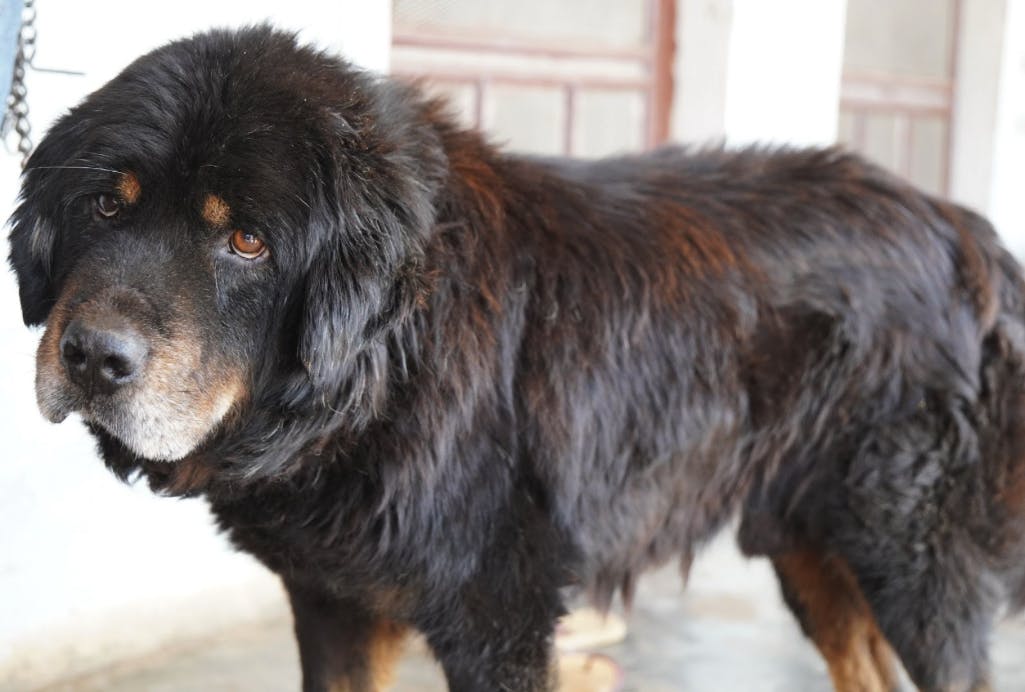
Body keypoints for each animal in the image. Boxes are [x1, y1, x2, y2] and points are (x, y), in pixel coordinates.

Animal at [8, 24, 1025, 688]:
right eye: (106, 206)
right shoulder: (335, 601)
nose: (93, 356)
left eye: (247, 242)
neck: (392, 364)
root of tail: (961, 229)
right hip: (814, 548)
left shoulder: (497, 615)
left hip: (915, 562)